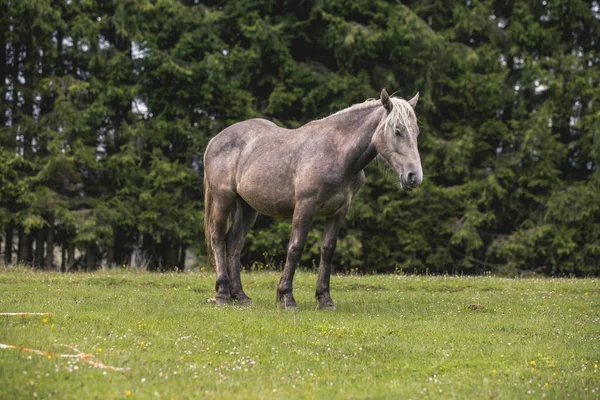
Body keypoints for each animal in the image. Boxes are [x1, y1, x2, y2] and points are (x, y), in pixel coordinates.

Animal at [204, 90, 424, 310]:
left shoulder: (339, 210)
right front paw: (286, 297)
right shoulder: (305, 206)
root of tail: (216, 139)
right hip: (224, 199)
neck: (337, 153)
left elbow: (327, 250)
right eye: (397, 131)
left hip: (248, 207)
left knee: (234, 242)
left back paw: (240, 296)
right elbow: (295, 247)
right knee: (218, 237)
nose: (414, 176)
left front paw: (324, 298)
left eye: (416, 132)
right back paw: (222, 294)